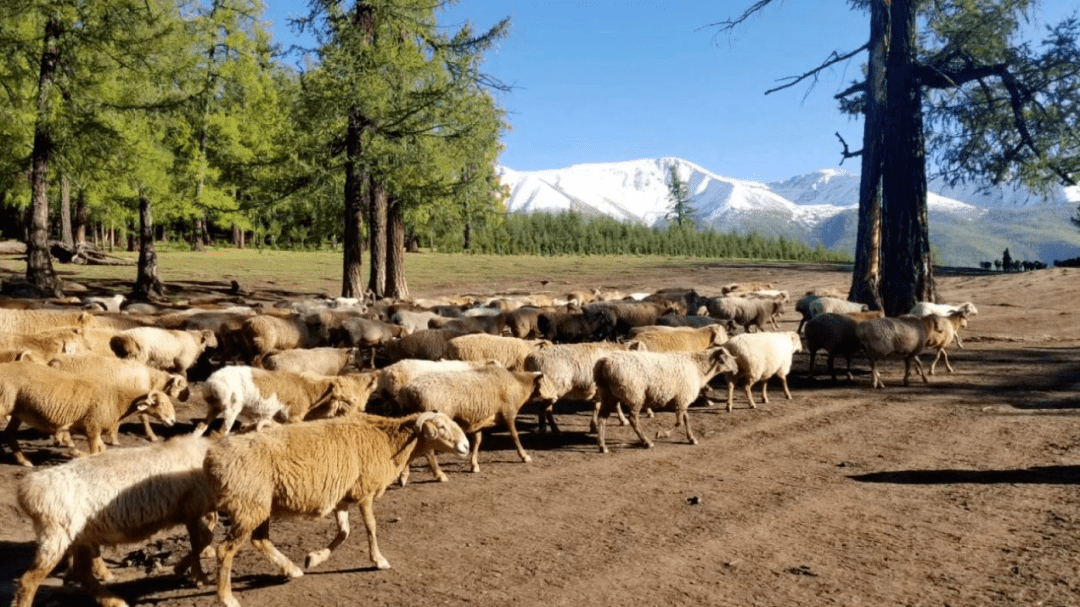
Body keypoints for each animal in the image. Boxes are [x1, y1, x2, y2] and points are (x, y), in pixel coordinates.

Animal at [0, 360, 174, 464]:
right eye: (161, 403)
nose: (172, 421)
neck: (116, 399)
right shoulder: (92, 427)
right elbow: (94, 454)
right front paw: (75, 453)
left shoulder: (93, 429)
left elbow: (102, 450)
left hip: (17, 412)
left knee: (10, 433)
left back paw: (24, 461)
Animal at [13, 432, 217, 604]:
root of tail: (27, 490)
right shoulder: (192, 509)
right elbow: (199, 541)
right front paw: (194, 574)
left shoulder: (191, 513)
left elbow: (206, 538)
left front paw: (192, 573)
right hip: (56, 537)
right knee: (28, 581)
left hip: (80, 537)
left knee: (82, 572)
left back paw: (113, 601)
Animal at [194, 362, 380, 434]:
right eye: (342, 388)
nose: (354, 400)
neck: (307, 388)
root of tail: (212, 382)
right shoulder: (293, 417)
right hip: (231, 409)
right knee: (221, 432)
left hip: (214, 407)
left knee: (201, 427)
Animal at [206, 406, 468, 604]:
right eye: (442, 428)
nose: (465, 447)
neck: (388, 441)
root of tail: (213, 461)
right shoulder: (364, 492)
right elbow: (371, 527)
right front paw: (378, 560)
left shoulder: (343, 497)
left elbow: (344, 532)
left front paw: (314, 558)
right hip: (249, 507)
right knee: (225, 550)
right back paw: (227, 597)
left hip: (260, 507)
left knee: (260, 540)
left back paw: (292, 569)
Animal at [596, 347, 738, 451]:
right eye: (727, 357)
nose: (737, 369)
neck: (698, 368)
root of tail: (605, 362)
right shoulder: (683, 397)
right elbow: (679, 422)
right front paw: (662, 434)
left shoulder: (682, 396)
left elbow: (685, 419)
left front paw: (691, 438)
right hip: (634, 394)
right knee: (633, 419)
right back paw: (646, 442)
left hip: (608, 394)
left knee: (602, 418)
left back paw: (603, 446)